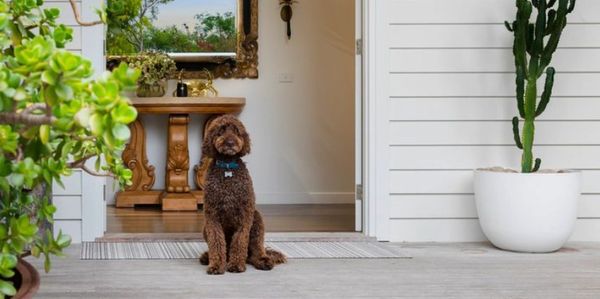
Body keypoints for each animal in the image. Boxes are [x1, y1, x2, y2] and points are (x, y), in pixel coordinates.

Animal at [199, 115, 286, 276]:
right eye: (221, 130)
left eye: (236, 131)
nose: (230, 143)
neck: (227, 168)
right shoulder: (212, 216)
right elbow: (216, 242)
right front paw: (216, 265)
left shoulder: (244, 214)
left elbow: (240, 241)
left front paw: (235, 265)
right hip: (205, 227)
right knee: (228, 250)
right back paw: (207, 257)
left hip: (257, 220)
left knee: (255, 250)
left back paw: (263, 261)